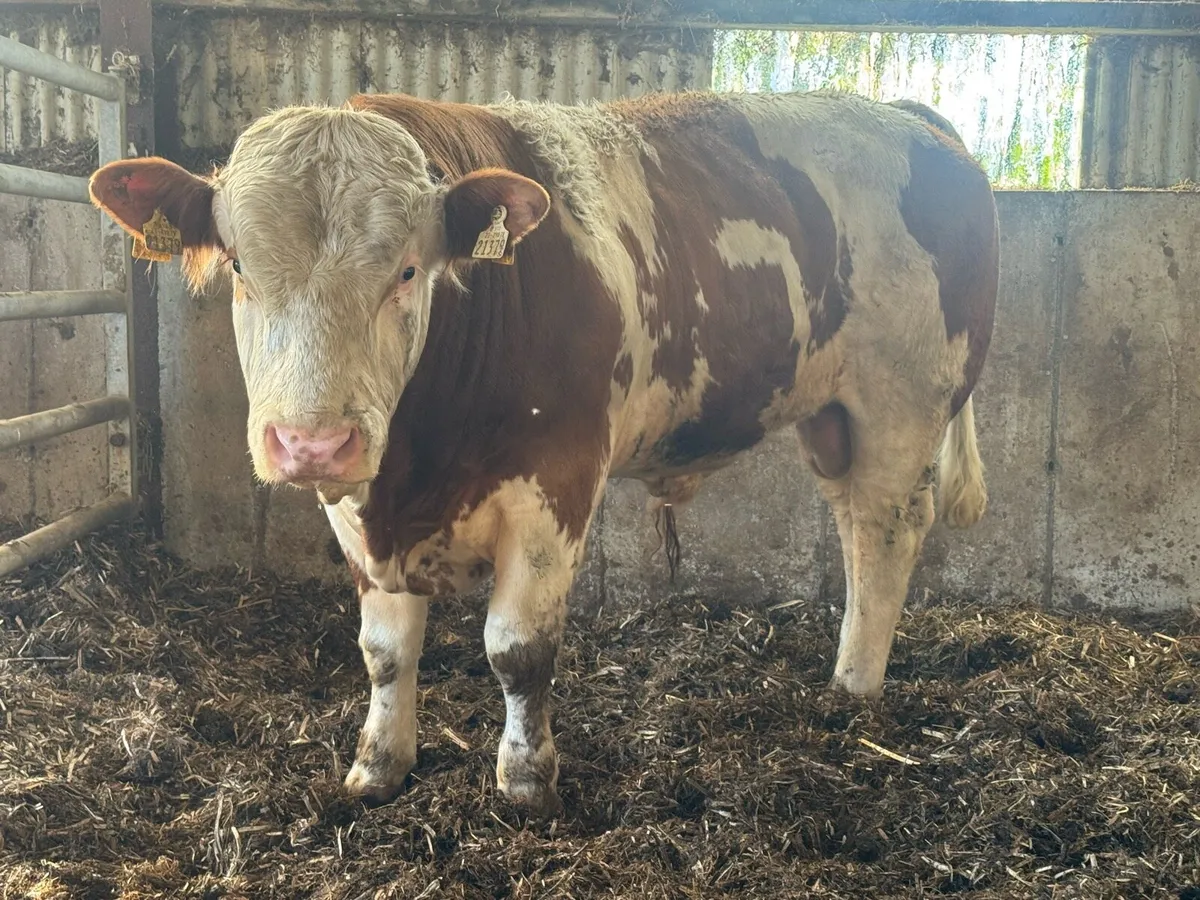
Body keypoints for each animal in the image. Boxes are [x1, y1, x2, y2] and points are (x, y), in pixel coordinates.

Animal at [88, 89, 998, 816]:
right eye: (240, 267)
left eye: (408, 271)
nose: (312, 441)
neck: (417, 468)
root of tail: (908, 117)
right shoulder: (358, 503)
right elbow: (385, 651)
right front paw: (379, 765)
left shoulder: (555, 484)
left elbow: (517, 650)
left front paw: (526, 781)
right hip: (833, 417)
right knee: (853, 526)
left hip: (903, 403)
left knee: (887, 531)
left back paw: (856, 688)